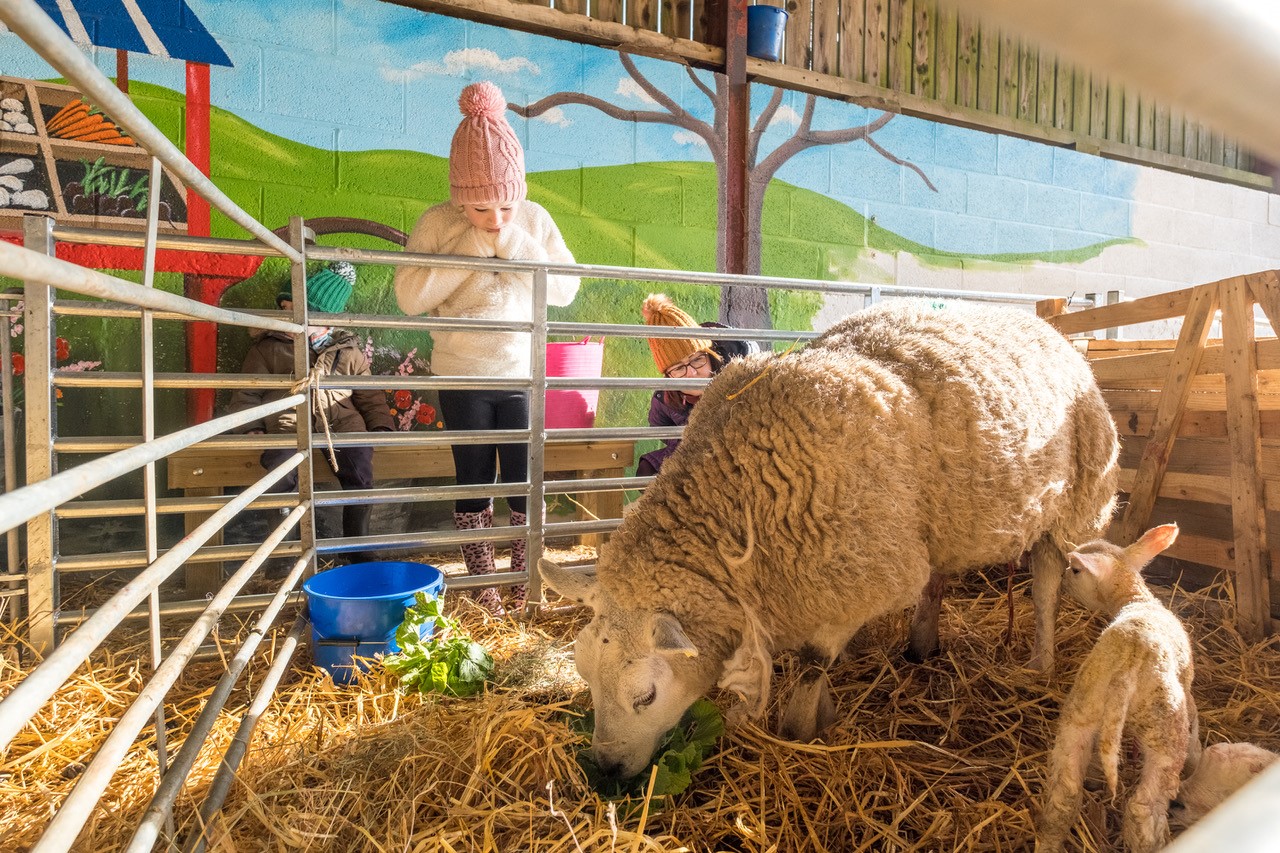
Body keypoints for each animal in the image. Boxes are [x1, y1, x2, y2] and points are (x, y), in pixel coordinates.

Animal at [540, 298, 1121, 778]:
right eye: (583, 673)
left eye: (646, 696)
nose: (605, 770)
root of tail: (1048, 328)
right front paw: (825, 714)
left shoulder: (855, 580)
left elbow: (812, 664)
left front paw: (803, 729)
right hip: (939, 520)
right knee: (935, 577)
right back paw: (921, 645)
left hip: (1075, 501)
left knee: (1046, 581)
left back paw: (1041, 662)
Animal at [1034, 522, 1192, 850]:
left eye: (1076, 570)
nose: (1064, 576)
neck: (1135, 599)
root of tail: (1125, 670)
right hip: (1166, 730)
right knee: (1144, 806)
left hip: (1081, 710)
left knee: (1064, 795)